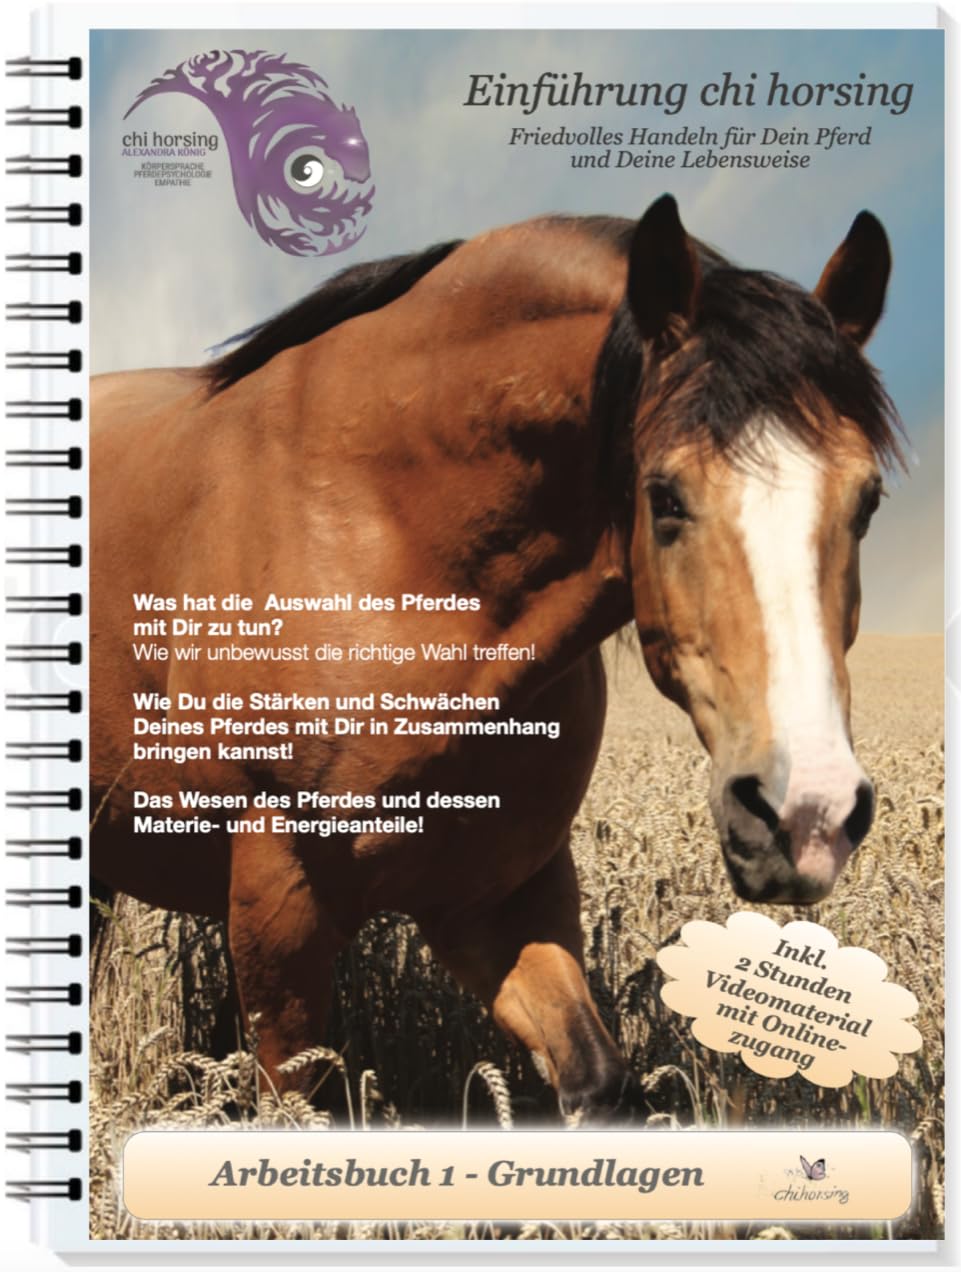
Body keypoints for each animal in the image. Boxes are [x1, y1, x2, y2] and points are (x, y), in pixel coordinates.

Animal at [90, 194, 902, 1121]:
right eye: (664, 496)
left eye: (866, 500)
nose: (806, 816)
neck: (379, 522)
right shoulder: (278, 895)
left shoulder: (502, 895)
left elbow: (594, 1076)